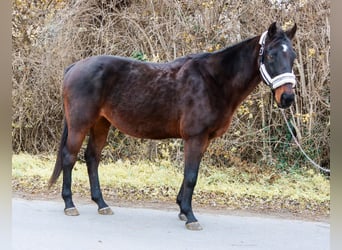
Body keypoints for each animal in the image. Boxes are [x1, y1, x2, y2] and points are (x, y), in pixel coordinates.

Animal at [48, 22, 296, 229]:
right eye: (271, 55)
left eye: (293, 56)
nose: (287, 98)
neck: (213, 81)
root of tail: (74, 67)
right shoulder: (195, 137)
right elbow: (191, 176)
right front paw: (190, 216)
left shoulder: (204, 140)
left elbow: (190, 174)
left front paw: (182, 210)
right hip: (80, 123)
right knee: (69, 157)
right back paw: (69, 204)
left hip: (102, 123)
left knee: (92, 157)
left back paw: (102, 204)